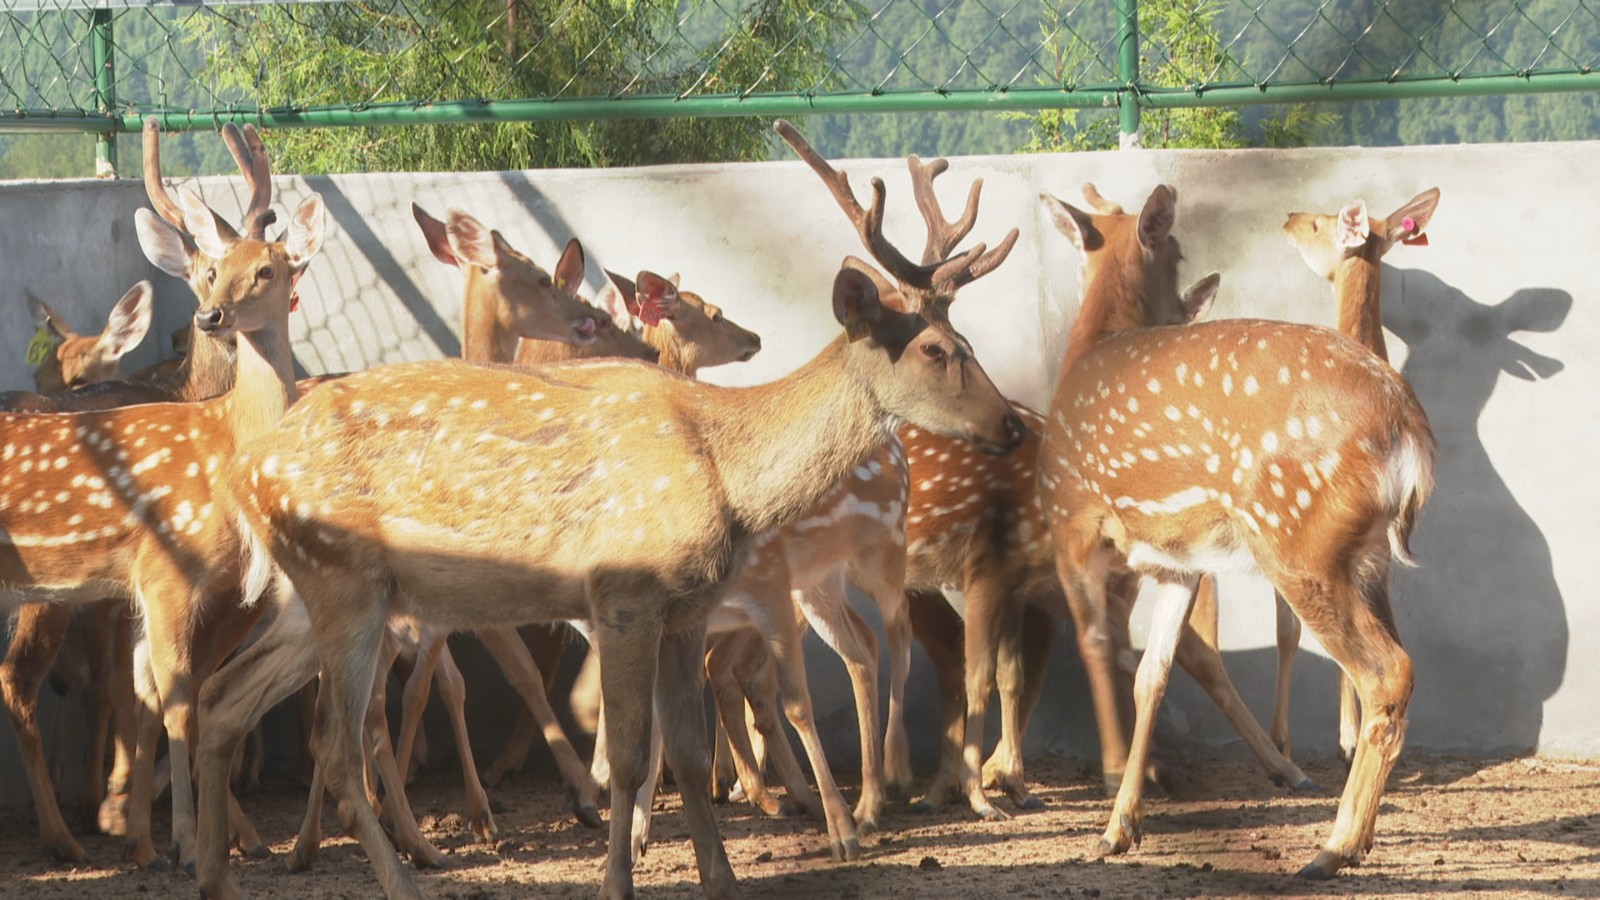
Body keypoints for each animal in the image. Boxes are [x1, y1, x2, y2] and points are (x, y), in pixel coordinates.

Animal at [1036, 182, 1435, 878]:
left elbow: (1097, 643)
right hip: (1367, 557)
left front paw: (1112, 800)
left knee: (1386, 671)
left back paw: (1331, 846)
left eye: (1175, 249)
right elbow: (1153, 674)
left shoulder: (1077, 527)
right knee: (1395, 670)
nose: (1186, 306)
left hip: (1296, 538)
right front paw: (1120, 828)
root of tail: (1409, 430)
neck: (1089, 345)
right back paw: (1354, 836)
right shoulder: (1178, 561)